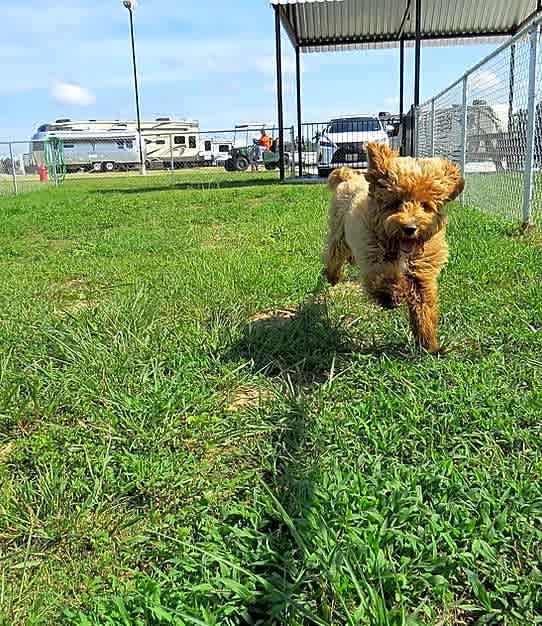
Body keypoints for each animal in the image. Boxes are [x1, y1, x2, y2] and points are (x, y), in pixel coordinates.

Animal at [323, 142, 464, 352]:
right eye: (396, 202)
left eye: (425, 205)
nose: (410, 228)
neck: (400, 249)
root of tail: (351, 177)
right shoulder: (374, 260)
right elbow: (386, 279)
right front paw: (394, 296)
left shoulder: (422, 273)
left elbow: (424, 307)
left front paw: (429, 344)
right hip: (339, 231)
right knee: (334, 253)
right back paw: (332, 276)